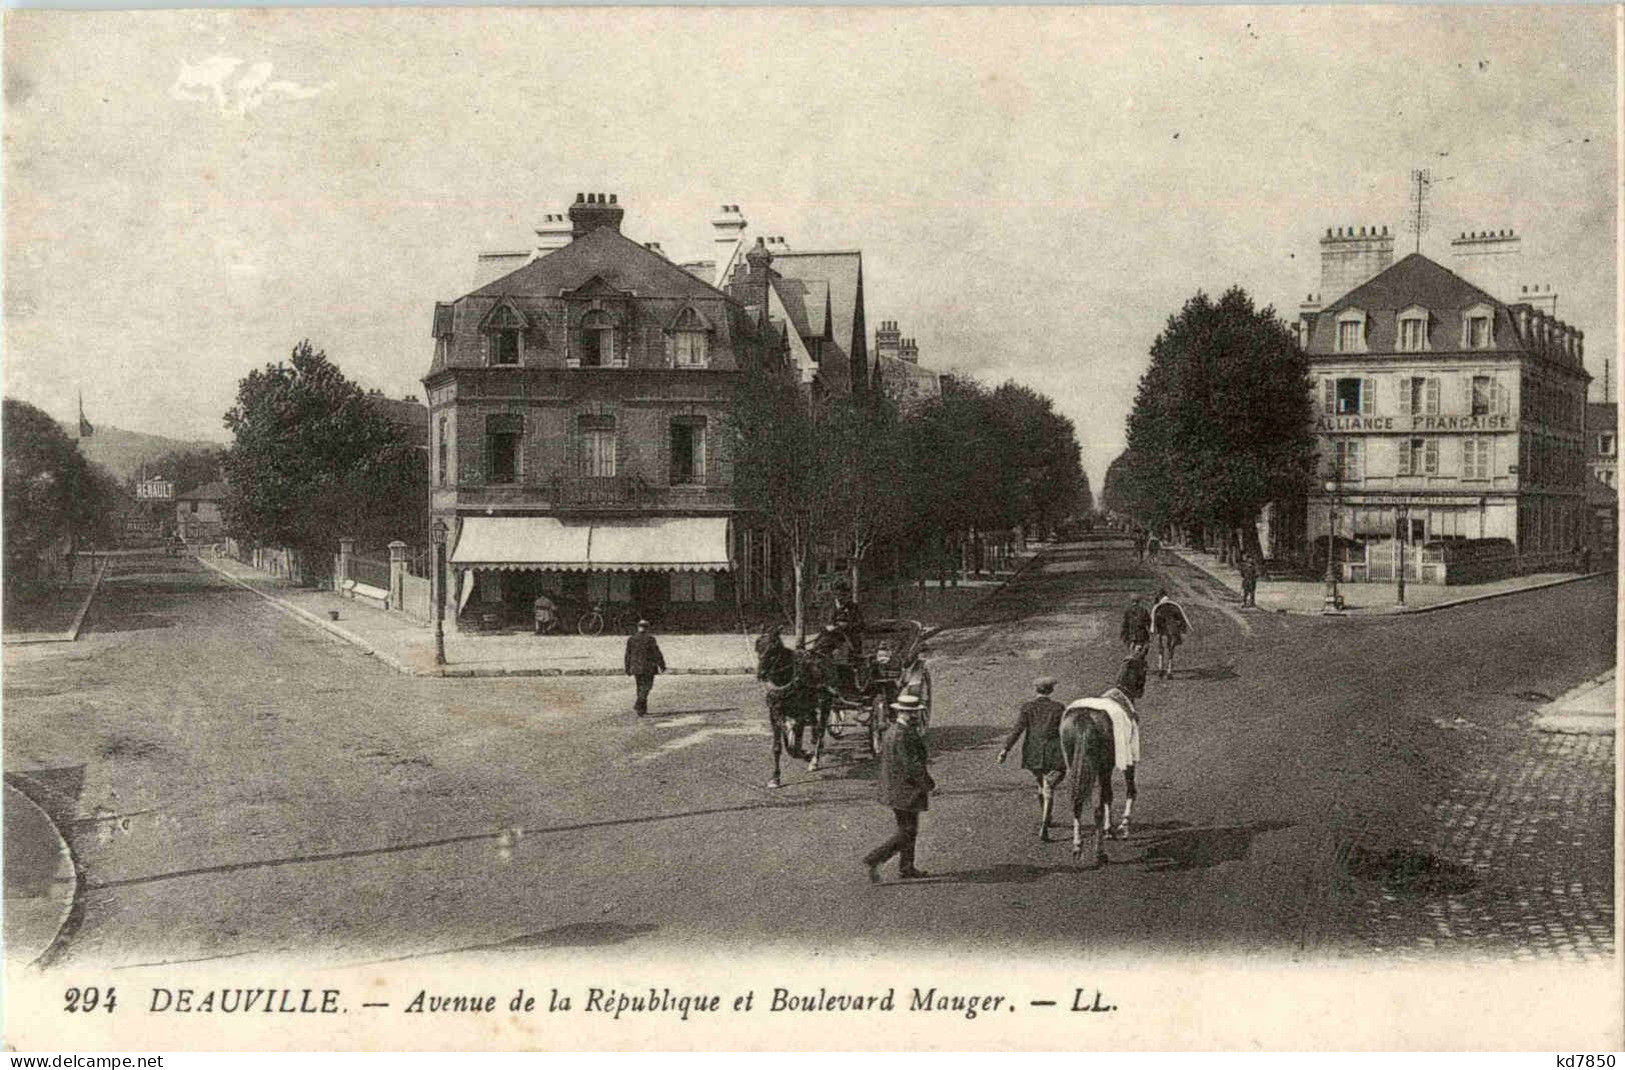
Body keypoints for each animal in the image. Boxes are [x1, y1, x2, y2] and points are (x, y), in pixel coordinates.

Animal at [757, 617, 936, 783]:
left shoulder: (802, 710)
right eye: (757, 647)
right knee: (818, 723)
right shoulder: (776, 713)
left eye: (773, 649)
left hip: (827, 700)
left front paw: (808, 757)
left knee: (821, 727)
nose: (761, 674)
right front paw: (776, 777)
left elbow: (797, 743)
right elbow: (780, 746)